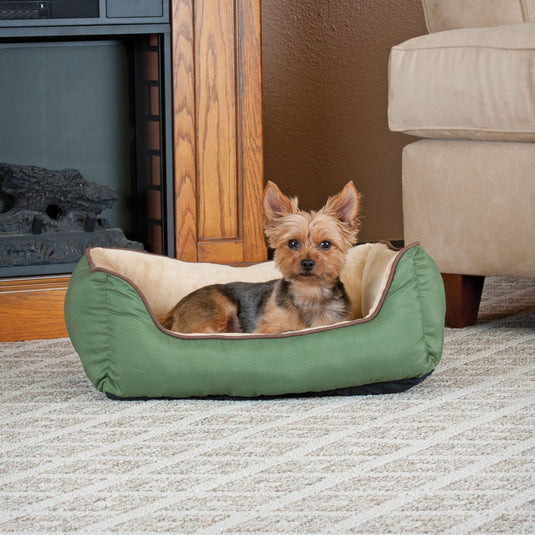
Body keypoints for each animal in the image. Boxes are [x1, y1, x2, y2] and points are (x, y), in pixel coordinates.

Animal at [159, 181, 360, 336]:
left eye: (326, 244)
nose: (307, 263)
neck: (309, 293)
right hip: (215, 312)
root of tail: (176, 307)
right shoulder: (268, 329)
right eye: (293, 243)